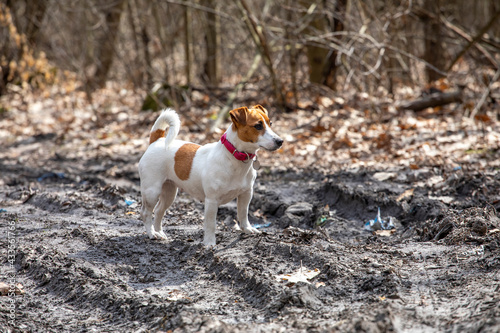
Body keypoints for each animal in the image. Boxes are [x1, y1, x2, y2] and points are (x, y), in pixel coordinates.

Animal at [139, 105, 284, 245]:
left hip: (169, 192)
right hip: (152, 191)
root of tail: (157, 140)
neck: (234, 158)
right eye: (258, 126)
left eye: (270, 123)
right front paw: (209, 243)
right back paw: (152, 234)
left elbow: (243, 214)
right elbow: (210, 224)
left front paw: (247, 229)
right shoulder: (211, 200)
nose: (280, 141)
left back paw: (159, 232)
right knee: (146, 213)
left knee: (159, 211)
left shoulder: (246, 194)